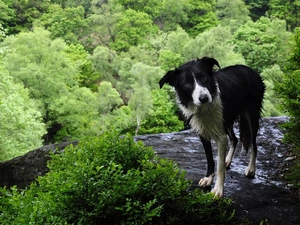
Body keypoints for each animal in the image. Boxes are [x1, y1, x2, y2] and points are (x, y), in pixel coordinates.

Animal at [159, 57, 264, 197]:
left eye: (203, 77)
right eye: (186, 83)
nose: (203, 98)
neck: (204, 108)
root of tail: (250, 69)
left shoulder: (221, 135)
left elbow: (219, 165)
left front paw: (218, 190)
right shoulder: (203, 132)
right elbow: (210, 158)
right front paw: (208, 178)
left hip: (251, 115)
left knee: (254, 144)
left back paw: (251, 169)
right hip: (227, 120)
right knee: (235, 139)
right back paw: (228, 160)